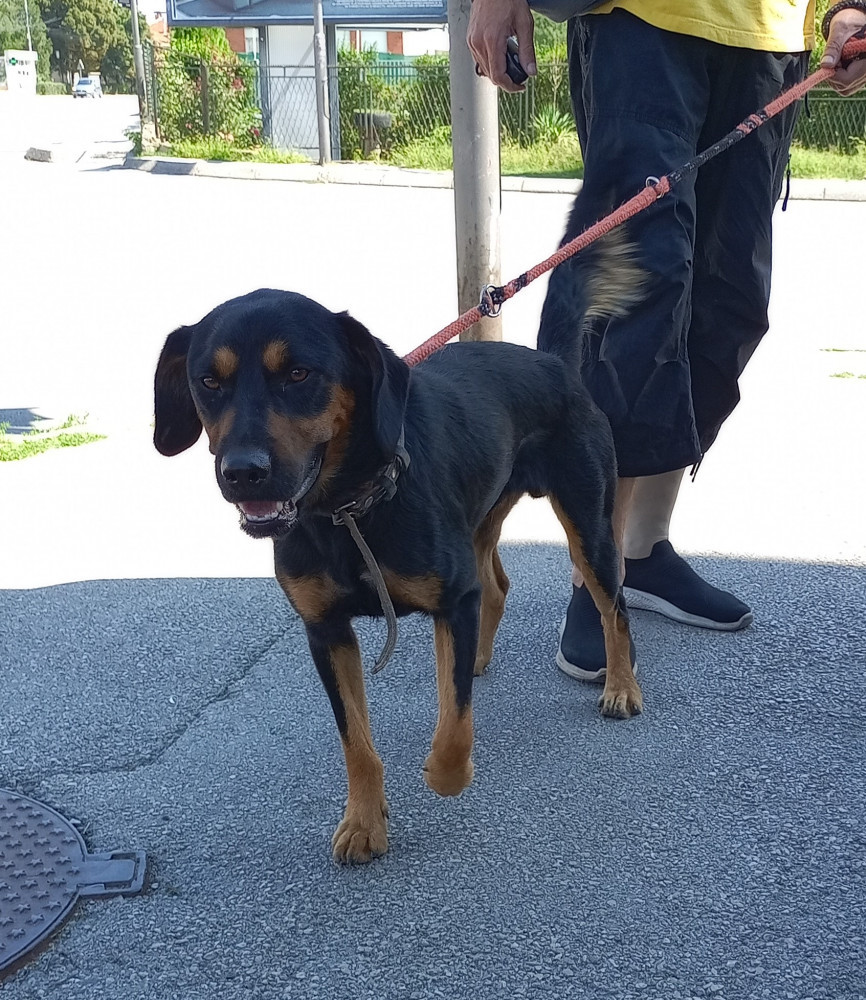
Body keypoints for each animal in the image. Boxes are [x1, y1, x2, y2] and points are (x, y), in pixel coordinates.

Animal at [154, 264, 640, 860]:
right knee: (495, 586)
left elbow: (454, 724)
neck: (348, 511)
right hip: (480, 517)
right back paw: (476, 658)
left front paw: (444, 773)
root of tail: (554, 364)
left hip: (588, 525)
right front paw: (364, 822)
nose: (243, 472)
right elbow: (357, 741)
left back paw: (622, 686)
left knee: (613, 606)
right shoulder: (326, 631)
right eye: (208, 382)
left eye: (298, 373)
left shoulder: (451, 599)